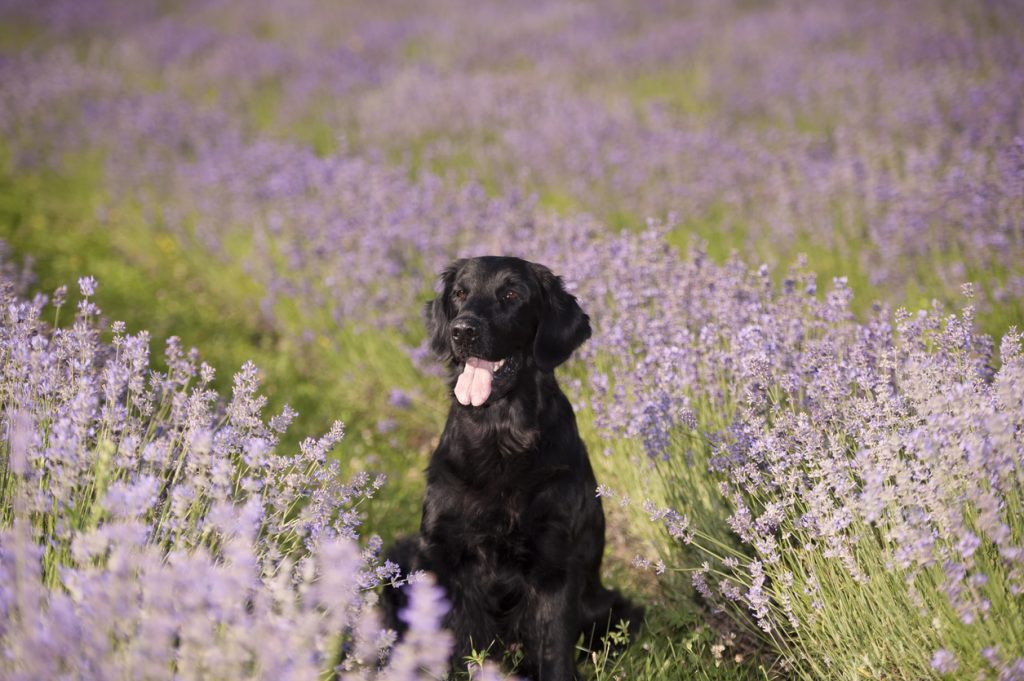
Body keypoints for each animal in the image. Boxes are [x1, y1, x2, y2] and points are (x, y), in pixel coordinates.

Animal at [385, 256, 638, 679]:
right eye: (460, 293)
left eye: (511, 295)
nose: (462, 330)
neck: (499, 437)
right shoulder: (442, 554)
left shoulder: (553, 562)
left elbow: (553, 650)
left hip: (613, 607)